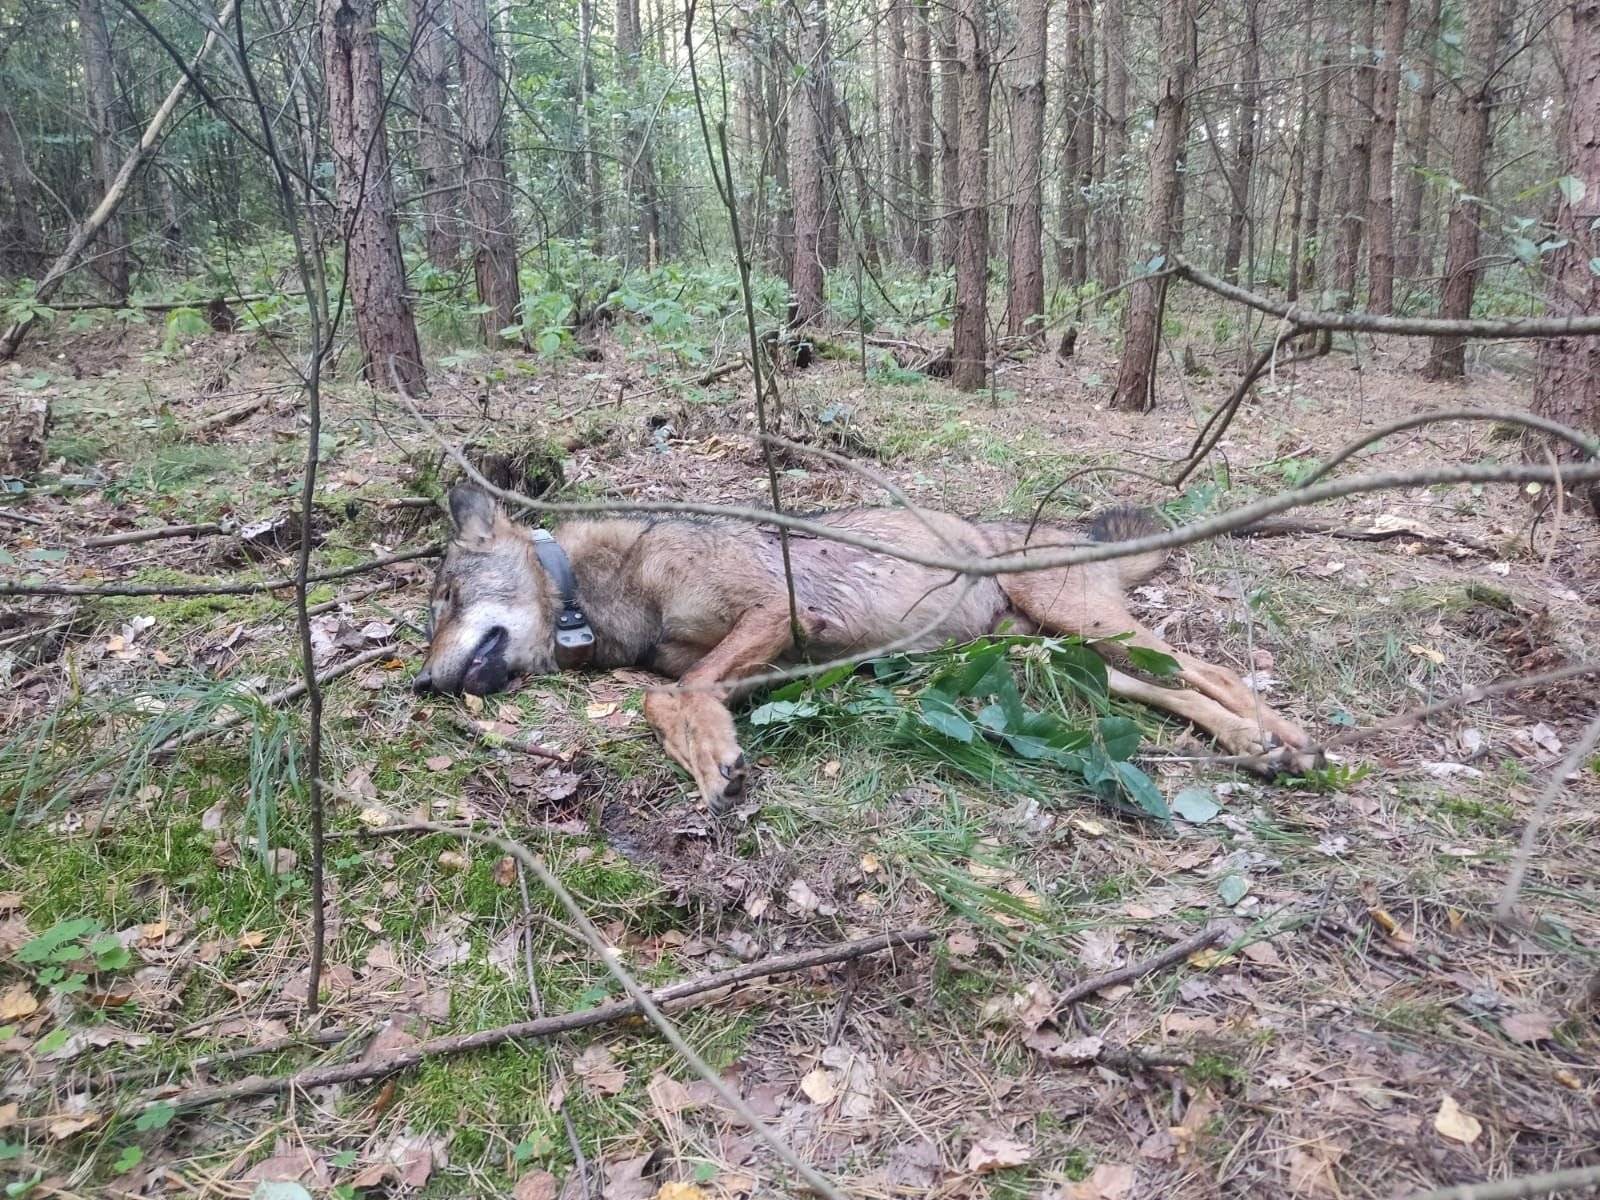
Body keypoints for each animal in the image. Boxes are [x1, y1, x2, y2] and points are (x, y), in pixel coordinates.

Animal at [419, 483, 1318, 812]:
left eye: (445, 600)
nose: (423, 685)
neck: (607, 588)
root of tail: (1063, 532)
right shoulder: (779, 658)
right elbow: (670, 690)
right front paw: (710, 747)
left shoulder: (779, 613)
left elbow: (665, 693)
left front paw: (710, 756)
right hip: (1063, 660)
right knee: (1171, 692)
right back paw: (1255, 745)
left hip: (1089, 629)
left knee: (1209, 667)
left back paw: (1284, 736)